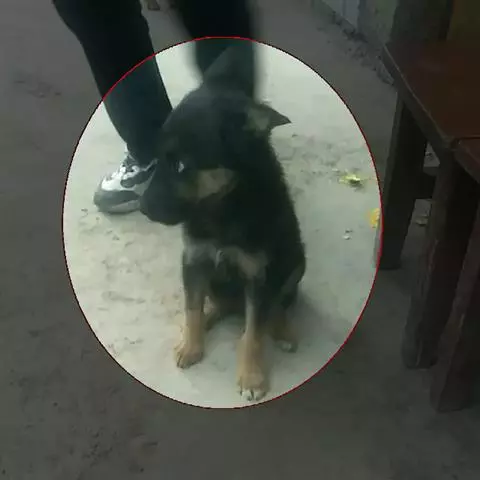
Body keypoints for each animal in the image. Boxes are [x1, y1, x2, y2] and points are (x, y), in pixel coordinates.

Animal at [140, 41, 306, 402]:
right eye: (158, 157)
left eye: (182, 166)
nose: (143, 208)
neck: (222, 206)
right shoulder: (193, 259)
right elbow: (191, 306)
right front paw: (191, 345)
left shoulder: (259, 275)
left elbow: (253, 333)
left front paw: (252, 378)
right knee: (214, 300)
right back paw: (211, 315)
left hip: (295, 264)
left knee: (279, 304)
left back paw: (282, 329)